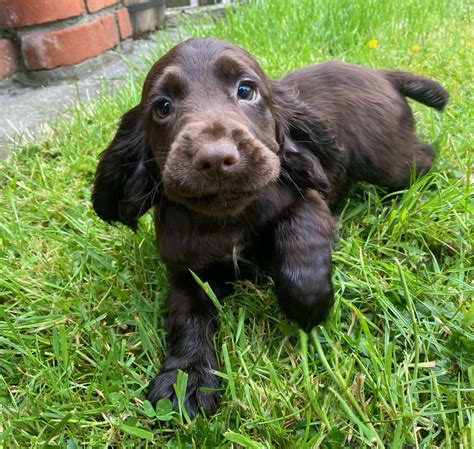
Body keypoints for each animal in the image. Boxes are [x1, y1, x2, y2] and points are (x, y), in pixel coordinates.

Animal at [91, 37, 448, 416]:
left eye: (246, 90)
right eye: (162, 107)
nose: (215, 159)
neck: (227, 218)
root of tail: (378, 73)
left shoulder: (309, 199)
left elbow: (299, 233)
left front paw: (309, 304)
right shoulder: (187, 274)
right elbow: (187, 318)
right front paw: (186, 377)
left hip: (385, 158)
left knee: (423, 160)